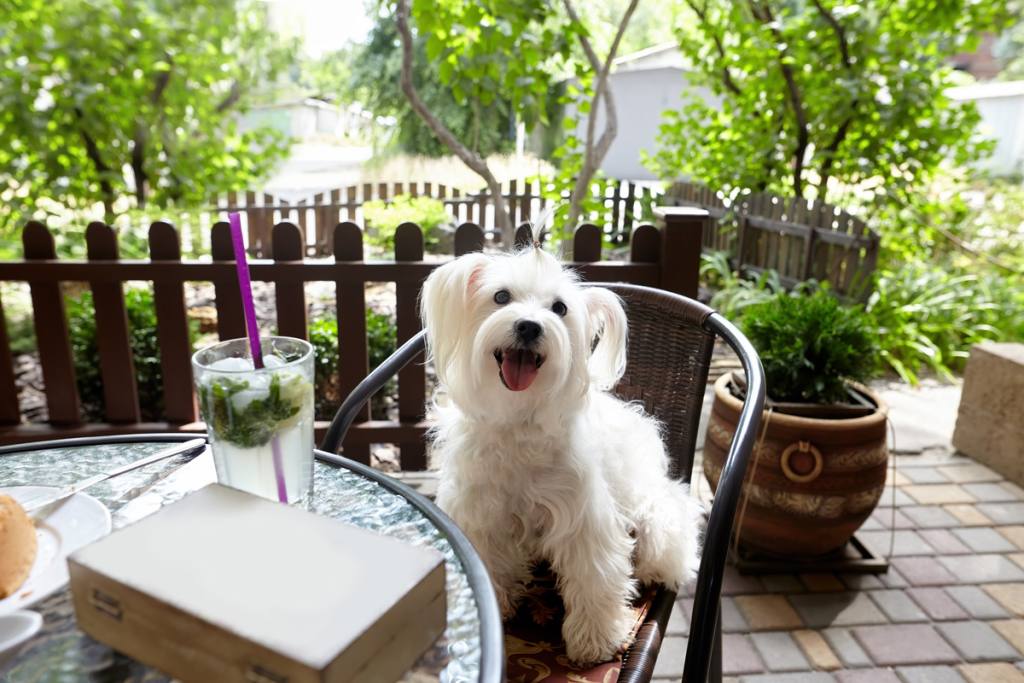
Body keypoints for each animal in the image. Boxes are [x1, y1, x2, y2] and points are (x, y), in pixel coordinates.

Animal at [419, 237, 700, 663]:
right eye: (501, 296)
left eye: (560, 308)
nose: (529, 326)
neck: (519, 418)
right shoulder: (481, 513)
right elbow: (490, 562)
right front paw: (497, 605)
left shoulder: (582, 516)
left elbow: (593, 574)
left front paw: (596, 640)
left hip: (655, 520)